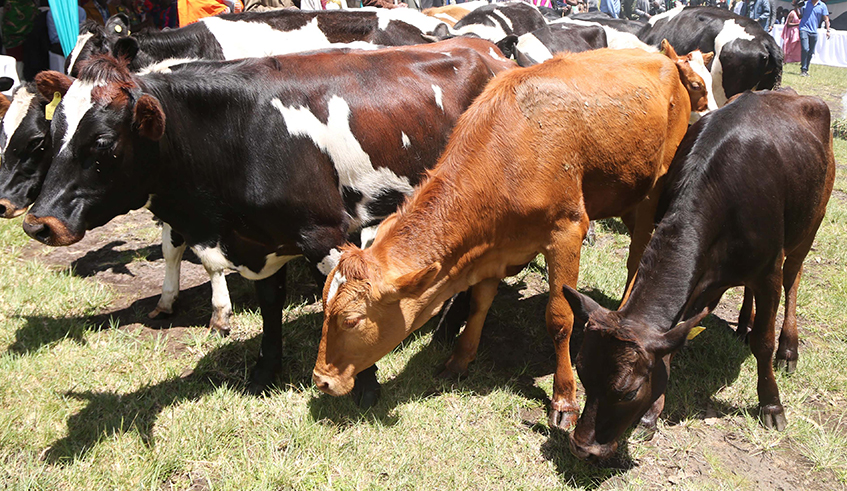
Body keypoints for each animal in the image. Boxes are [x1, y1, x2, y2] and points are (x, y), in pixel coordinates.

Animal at [23, 39, 515, 403]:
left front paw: (366, 385)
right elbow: (270, 305)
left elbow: (349, 302)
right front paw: (265, 369)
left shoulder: (324, 233)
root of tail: (488, 50)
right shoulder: (260, 242)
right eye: (50, 134)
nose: (38, 224)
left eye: (103, 144)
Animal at [312, 46, 715, 430]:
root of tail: (664, 60)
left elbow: (559, 318)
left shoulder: (567, 231)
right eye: (324, 307)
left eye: (351, 320)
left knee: (637, 257)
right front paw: (459, 359)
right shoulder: (494, 248)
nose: (321, 380)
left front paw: (564, 400)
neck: (509, 153)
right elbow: (479, 304)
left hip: (653, 189)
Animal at [562, 88, 835, 462]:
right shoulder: (701, 282)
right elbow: (672, 344)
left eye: (629, 392)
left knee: (794, 278)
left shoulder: (768, 271)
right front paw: (651, 416)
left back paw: (788, 349)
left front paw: (772, 405)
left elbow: (763, 343)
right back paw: (744, 324)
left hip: (809, 224)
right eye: (583, 374)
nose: (581, 447)